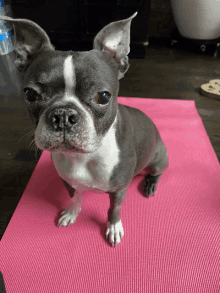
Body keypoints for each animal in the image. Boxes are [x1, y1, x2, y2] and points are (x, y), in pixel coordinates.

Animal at [0, 12, 168, 245]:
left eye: (103, 96)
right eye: (30, 94)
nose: (63, 115)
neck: (84, 157)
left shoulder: (119, 190)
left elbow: (114, 209)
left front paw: (113, 227)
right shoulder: (67, 181)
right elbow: (75, 197)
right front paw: (72, 213)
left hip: (159, 159)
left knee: (157, 172)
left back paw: (150, 184)